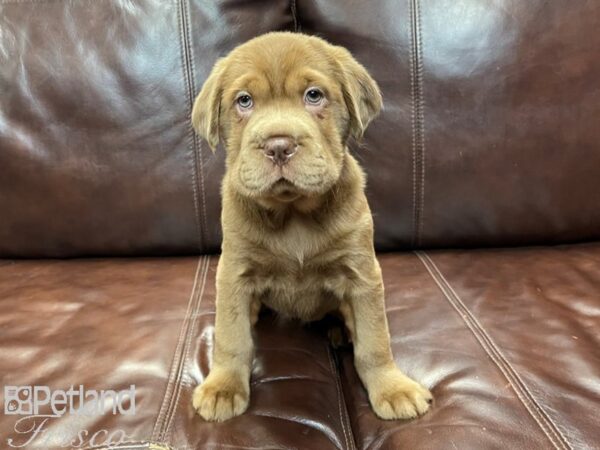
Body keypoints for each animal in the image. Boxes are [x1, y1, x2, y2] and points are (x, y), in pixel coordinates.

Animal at [191, 32, 432, 422]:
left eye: (314, 95)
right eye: (244, 101)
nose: (278, 145)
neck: (293, 213)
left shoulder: (362, 274)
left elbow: (375, 340)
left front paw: (392, 387)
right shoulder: (234, 273)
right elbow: (231, 338)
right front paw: (223, 386)